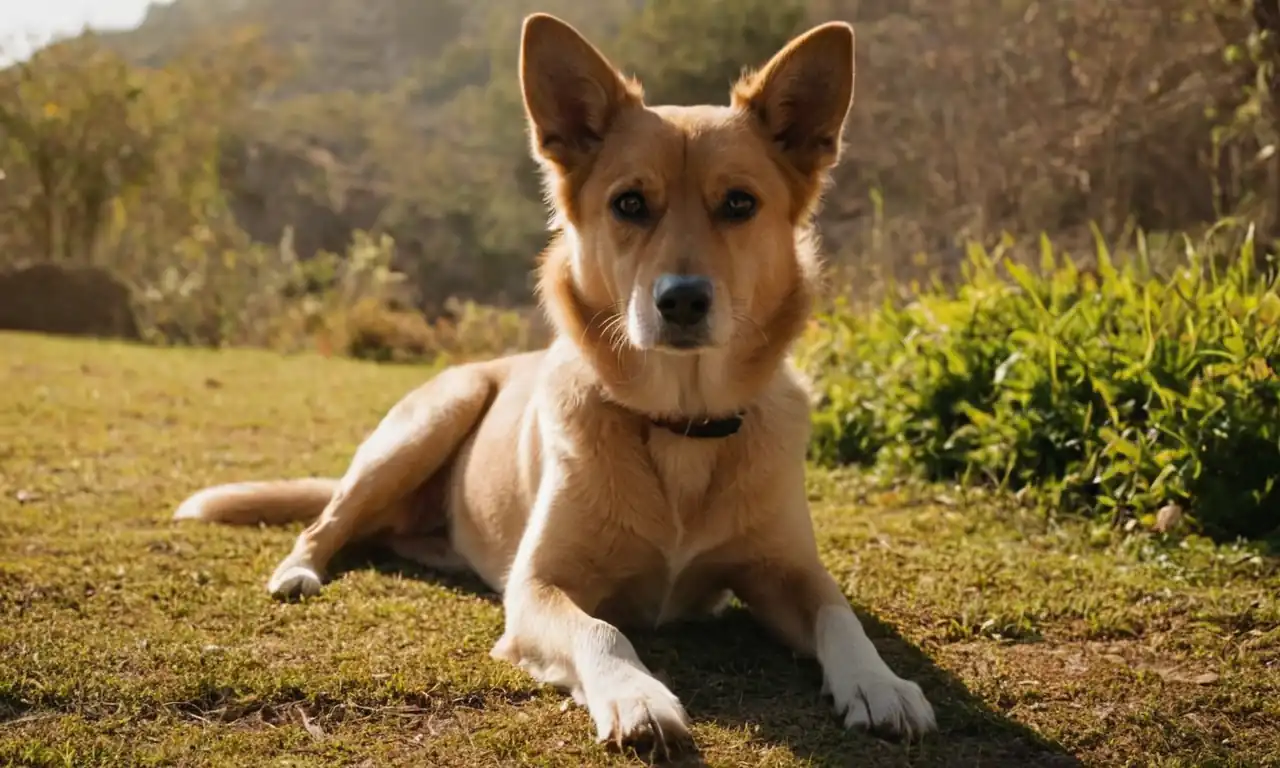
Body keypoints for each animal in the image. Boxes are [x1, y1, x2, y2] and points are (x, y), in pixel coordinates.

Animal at [172, 13, 942, 747]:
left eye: (739, 204)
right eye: (629, 204)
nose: (682, 300)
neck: (680, 422)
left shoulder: (790, 571)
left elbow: (841, 616)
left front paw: (880, 683)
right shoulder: (538, 587)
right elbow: (602, 630)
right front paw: (636, 696)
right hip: (428, 421)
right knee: (327, 521)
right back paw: (299, 571)